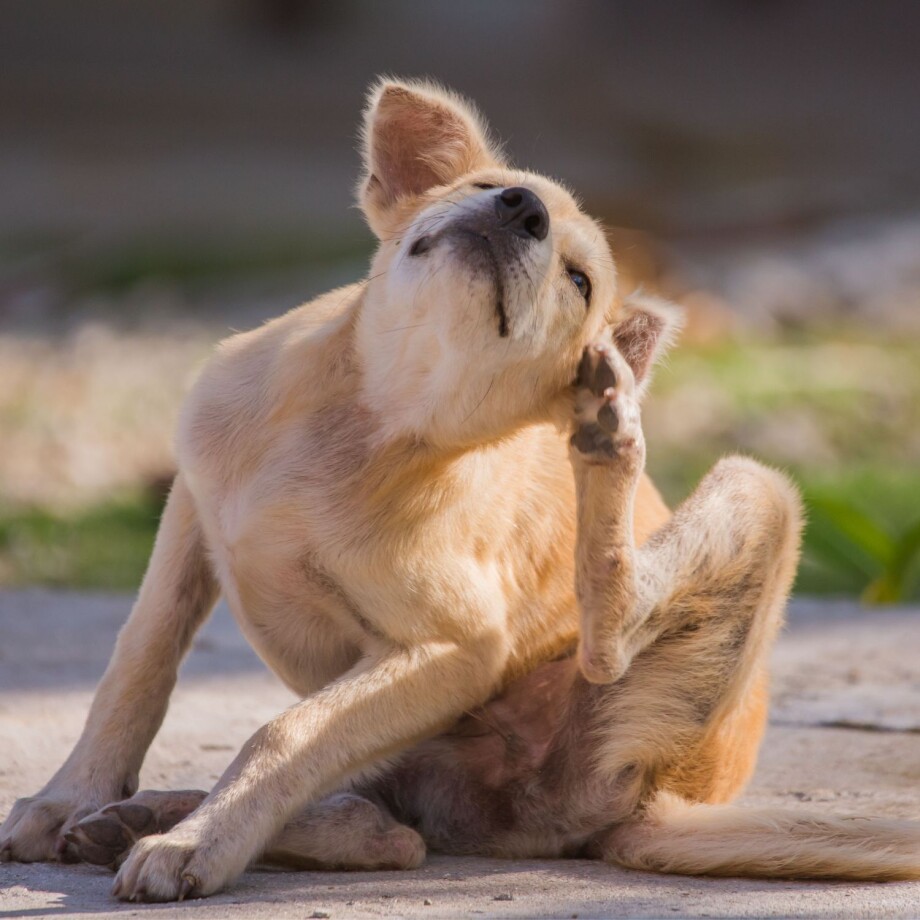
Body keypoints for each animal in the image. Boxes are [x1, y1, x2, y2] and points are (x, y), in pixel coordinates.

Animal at [1, 79, 920, 900]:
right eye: (484, 189)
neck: (369, 417)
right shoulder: (191, 509)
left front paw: (200, 844)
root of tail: (663, 800)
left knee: (583, 660)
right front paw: (70, 797)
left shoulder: (452, 648)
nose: (521, 209)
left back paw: (609, 438)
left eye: (580, 282)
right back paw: (143, 816)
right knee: (387, 828)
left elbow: (284, 732)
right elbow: (137, 664)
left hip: (753, 499)